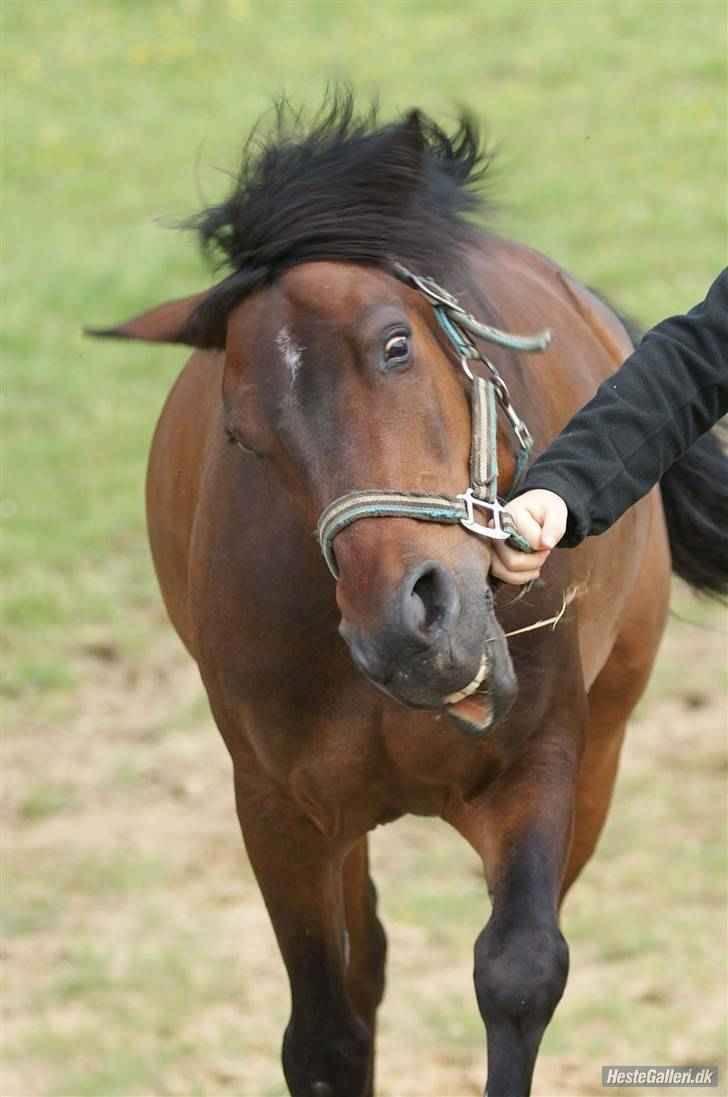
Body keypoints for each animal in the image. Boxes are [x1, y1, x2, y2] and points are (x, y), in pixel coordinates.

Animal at [90, 97, 728, 1097]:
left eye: (395, 345)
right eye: (244, 430)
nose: (407, 628)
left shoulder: (545, 762)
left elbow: (519, 971)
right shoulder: (277, 806)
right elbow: (325, 1034)